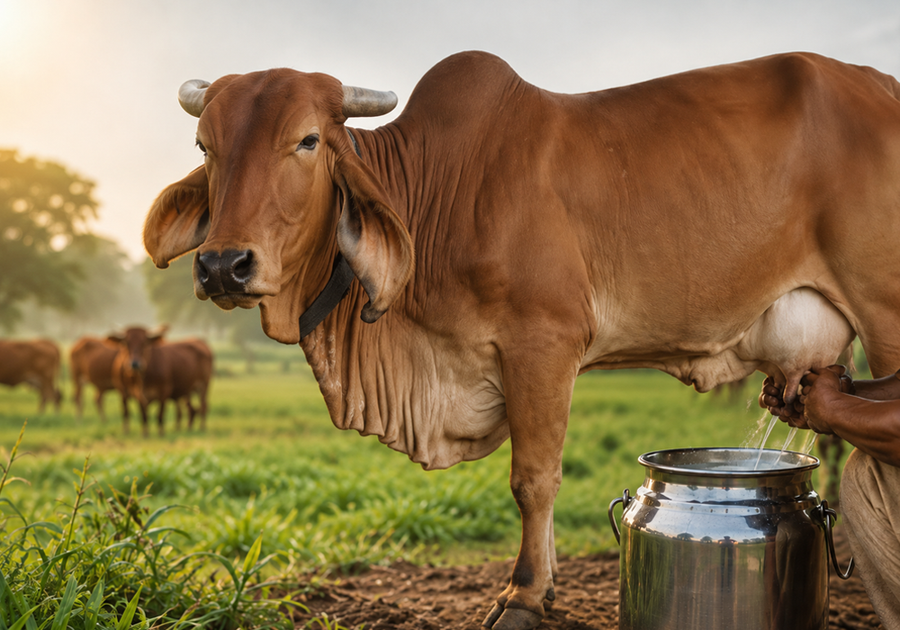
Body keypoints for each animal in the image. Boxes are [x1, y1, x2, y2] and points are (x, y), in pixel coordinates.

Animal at [141, 51, 900, 629]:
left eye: (306, 141)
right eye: (206, 146)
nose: (222, 265)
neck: (439, 191)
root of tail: (881, 84)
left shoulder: (543, 345)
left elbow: (534, 479)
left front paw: (526, 596)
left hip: (886, 315)